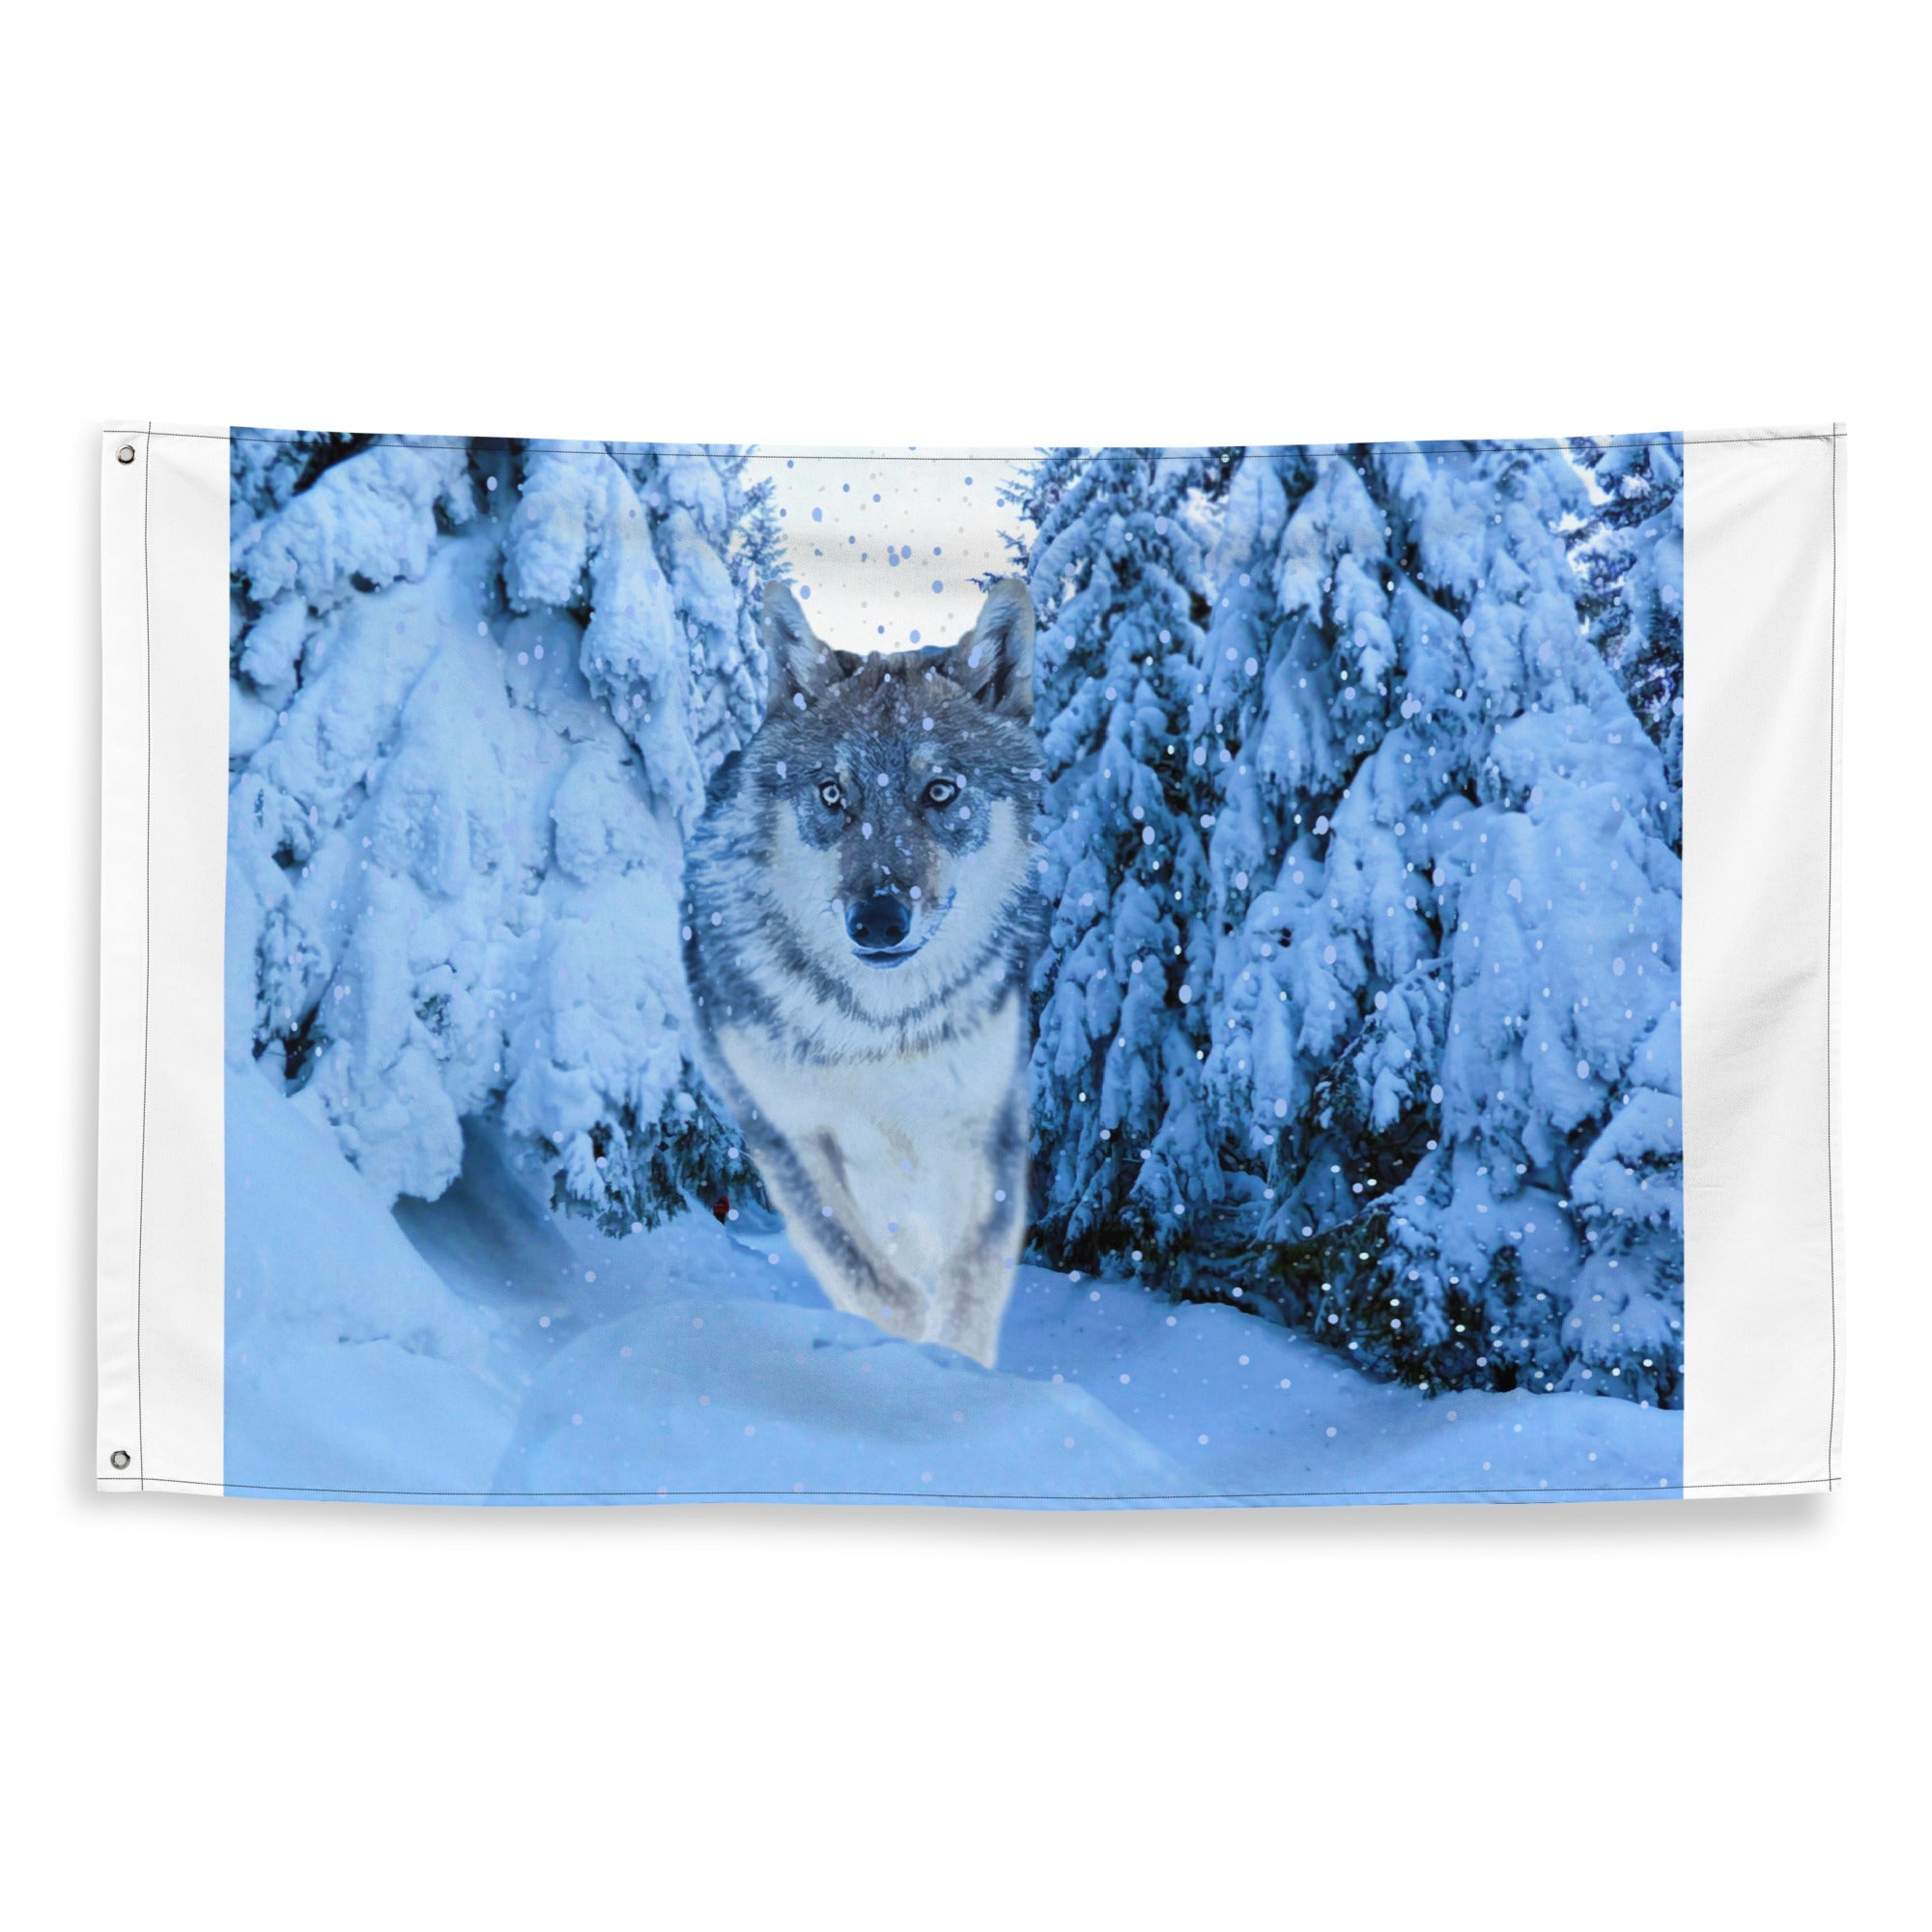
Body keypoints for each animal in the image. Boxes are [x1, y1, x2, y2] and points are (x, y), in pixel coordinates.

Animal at [681, 578, 1044, 1367]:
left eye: (940, 791)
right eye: (832, 794)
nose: (877, 921)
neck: (878, 1026)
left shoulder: (981, 1122)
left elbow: (971, 1272)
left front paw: (956, 1365)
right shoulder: (785, 1132)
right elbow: (868, 1278)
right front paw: (899, 1357)